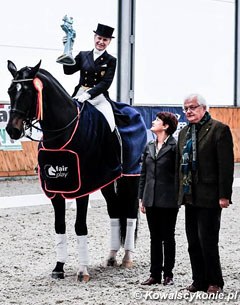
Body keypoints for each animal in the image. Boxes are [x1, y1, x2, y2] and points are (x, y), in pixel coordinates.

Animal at [6, 60, 147, 282]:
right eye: (10, 91)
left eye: (29, 92)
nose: (12, 130)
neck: (61, 134)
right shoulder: (56, 188)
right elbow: (59, 226)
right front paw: (59, 267)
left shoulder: (82, 188)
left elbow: (80, 226)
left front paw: (82, 271)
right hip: (106, 180)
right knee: (115, 211)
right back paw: (111, 256)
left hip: (131, 176)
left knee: (130, 213)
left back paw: (127, 258)